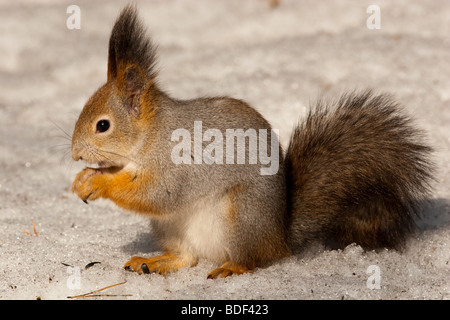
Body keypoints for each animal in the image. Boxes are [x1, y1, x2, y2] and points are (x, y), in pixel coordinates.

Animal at [70, 5, 432, 280]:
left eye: (102, 125)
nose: (74, 154)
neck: (152, 134)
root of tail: (280, 236)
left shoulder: (176, 165)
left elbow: (157, 194)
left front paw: (100, 183)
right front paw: (85, 179)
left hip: (242, 215)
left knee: (255, 259)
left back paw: (233, 267)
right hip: (172, 228)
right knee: (187, 257)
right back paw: (155, 260)